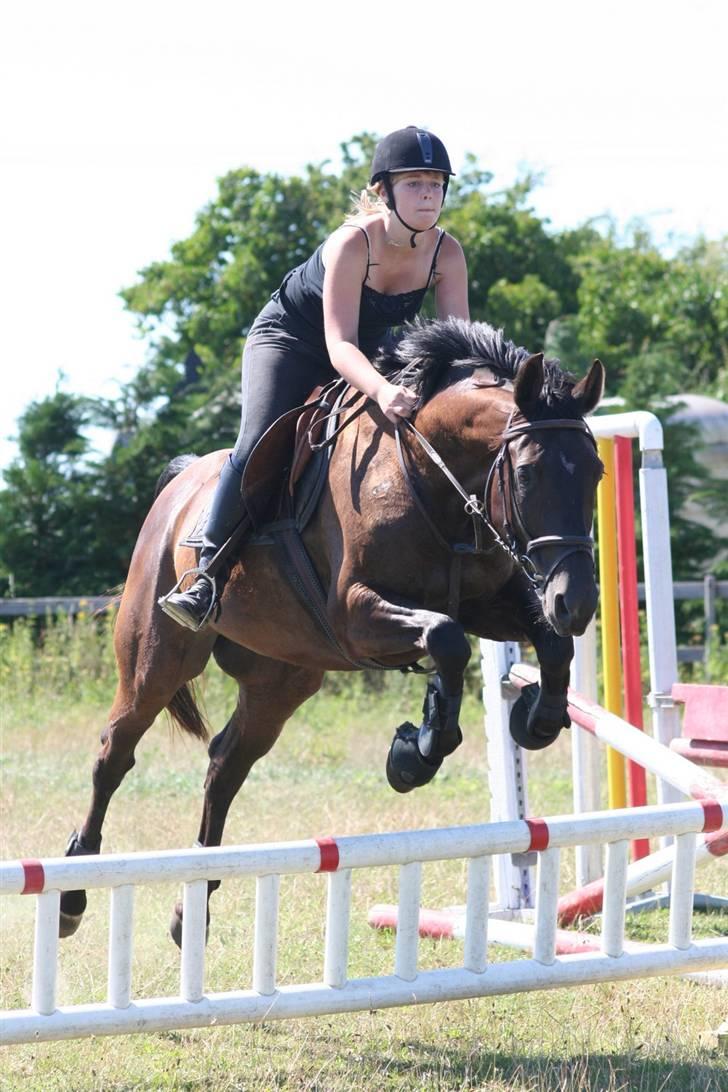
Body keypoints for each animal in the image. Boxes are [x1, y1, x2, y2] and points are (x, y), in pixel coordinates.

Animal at [59, 318, 602, 947]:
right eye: (528, 472)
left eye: (596, 472)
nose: (575, 601)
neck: (428, 476)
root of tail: (179, 487)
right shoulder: (355, 616)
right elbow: (446, 639)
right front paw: (415, 753)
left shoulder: (489, 602)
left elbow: (547, 644)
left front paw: (535, 720)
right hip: (157, 660)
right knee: (114, 754)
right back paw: (72, 893)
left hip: (282, 678)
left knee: (225, 766)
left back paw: (192, 908)